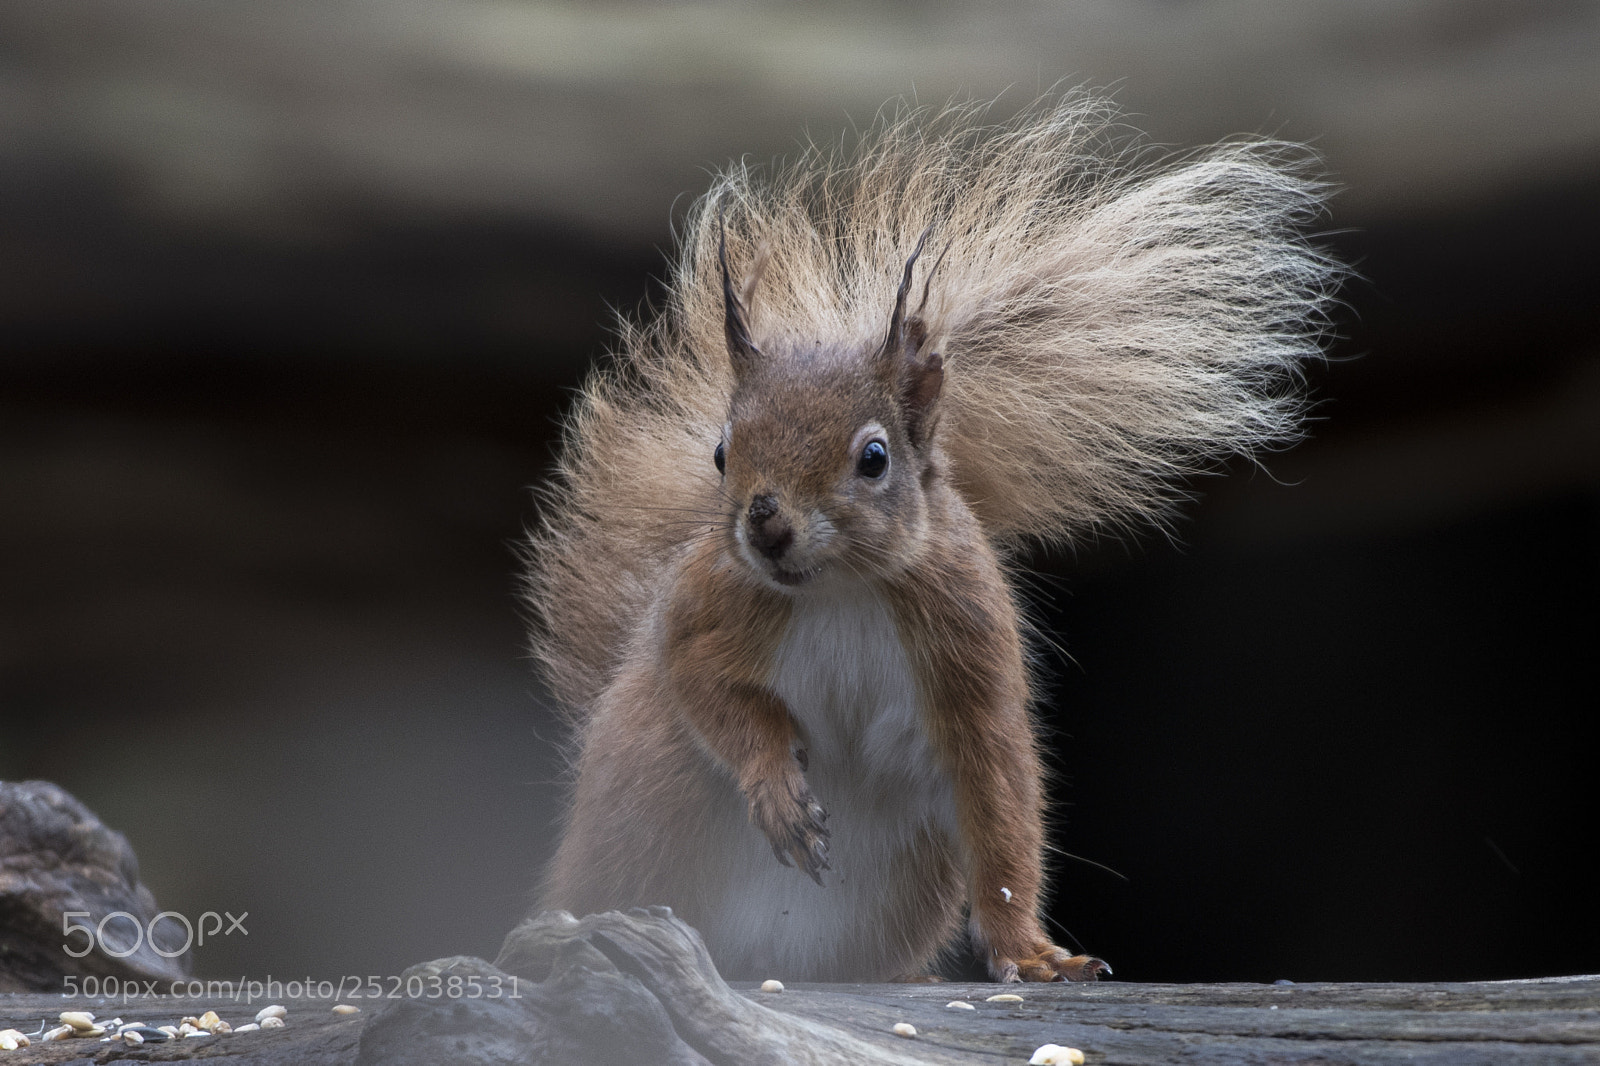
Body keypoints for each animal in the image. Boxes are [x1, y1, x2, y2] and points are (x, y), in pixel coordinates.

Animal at [525, 93, 1338, 983]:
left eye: (874, 458)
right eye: (720, 453)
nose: (764, 523)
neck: (842, 589)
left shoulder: (966, 641)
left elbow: (1000, 803)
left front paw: (1032, 954)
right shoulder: (707, 605)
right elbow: (704, 682)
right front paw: (775, 782)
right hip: (654, 782)